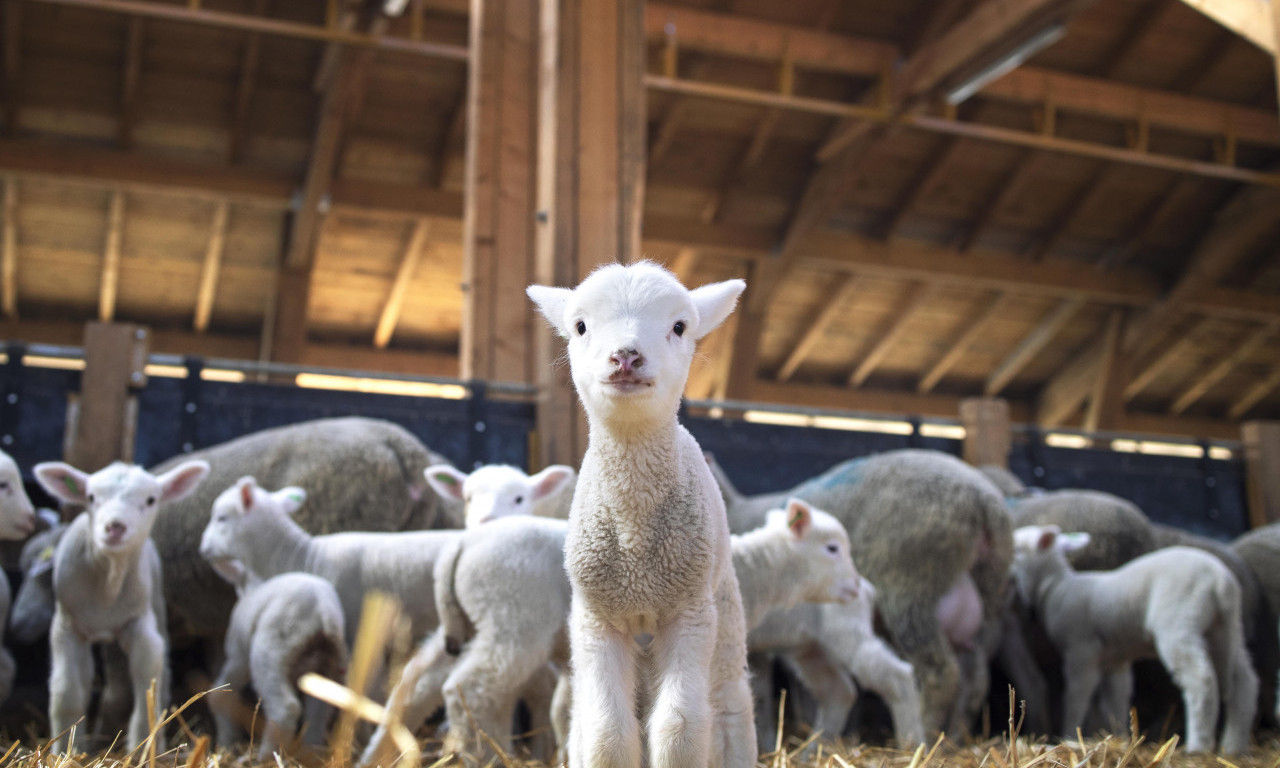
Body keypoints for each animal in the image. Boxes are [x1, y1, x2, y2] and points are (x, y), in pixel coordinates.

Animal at [33, 458, 209, 752]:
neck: (108, 583)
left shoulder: (140, 624)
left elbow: (147, 678)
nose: (115, 527)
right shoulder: (66, 626)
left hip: (156, 602)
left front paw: (143, 745)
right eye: (91, 497)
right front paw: (67, 749)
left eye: (151, 500)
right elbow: (67, 691)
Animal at [524, 262, 752, 768]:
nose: (626, 357)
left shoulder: (689, 613)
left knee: (729, 705)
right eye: (580, 326)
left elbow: (679, 728)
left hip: (724, 609)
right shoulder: (596, 621)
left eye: (680, 326)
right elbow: (607, 734)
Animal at [706, 450, 1013, 737]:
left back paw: (924, 735)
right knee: (974, 680)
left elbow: (761, 691)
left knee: (938, 673)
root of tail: (984, 500)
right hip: (986, 598)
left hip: (911, 590)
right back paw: (955, 737)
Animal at [1008, 524, 1259, 752]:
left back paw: (1198, 746)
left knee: (1201, 679)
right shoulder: (1114, 660)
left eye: (1017, 548)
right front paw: (1120, 735)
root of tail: (1221, 581)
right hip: (1226, 630)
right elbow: (1116, 699)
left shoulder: (1081, 649)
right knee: (1244, 681)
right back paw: (1234, 747)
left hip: (1179, 622)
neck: (1055, 587)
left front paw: (1068, 735)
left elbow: (1076, 696)